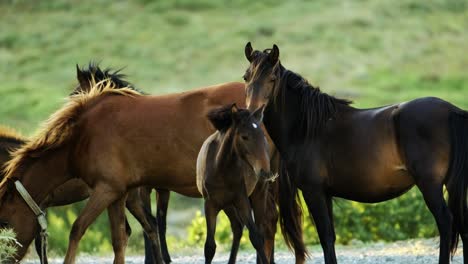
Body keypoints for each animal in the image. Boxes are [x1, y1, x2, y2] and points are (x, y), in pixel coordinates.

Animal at [196, 104, 272, 262]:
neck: (220, 168)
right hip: (228, 205)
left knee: (259, 232)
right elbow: (209, 246)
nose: (265, 171)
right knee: (237, 227)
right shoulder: (210, 204)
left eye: (262, 135)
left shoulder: (241, 200)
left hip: (258, 195)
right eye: (244, 136)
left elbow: (255, 238)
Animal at [243, 43, 466, 264]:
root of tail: (451, 110)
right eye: (246, 77)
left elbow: (325, 237)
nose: (253, 115)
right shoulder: (325, 193)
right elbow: (330, 237)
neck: (307, 129)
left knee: (445, 221)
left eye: (272, 78)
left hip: (430, 185)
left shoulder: (313, 191)